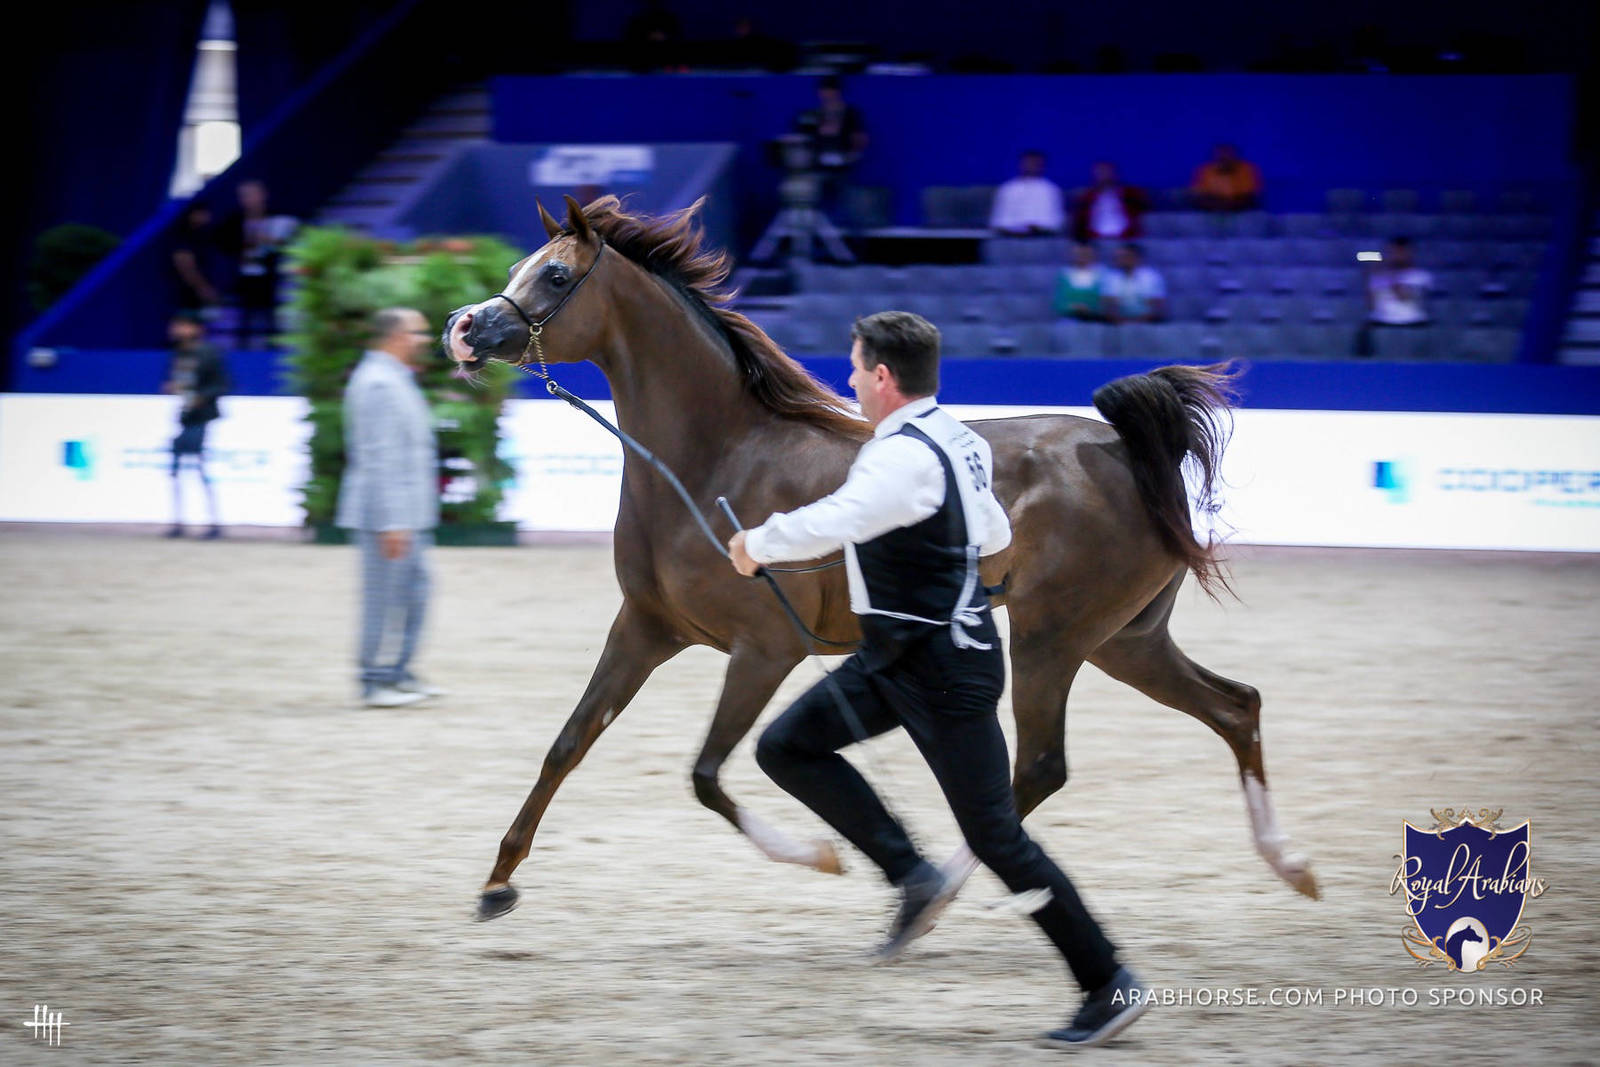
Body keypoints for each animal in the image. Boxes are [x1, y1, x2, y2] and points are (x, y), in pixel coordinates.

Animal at [445, 194, 1318, 921]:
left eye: (555, 274)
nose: (462, 327)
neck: (715, 459)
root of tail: (1119, 447)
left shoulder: (765, 648)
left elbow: (708, 772)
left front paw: (819, 855)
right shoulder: (645, 628)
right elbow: (569, 742)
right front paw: (497, 883)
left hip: (1054, 638)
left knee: (1038, 768)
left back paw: (944, 893)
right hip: (1126, 641)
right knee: (1235, 705)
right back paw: (1292, 864)